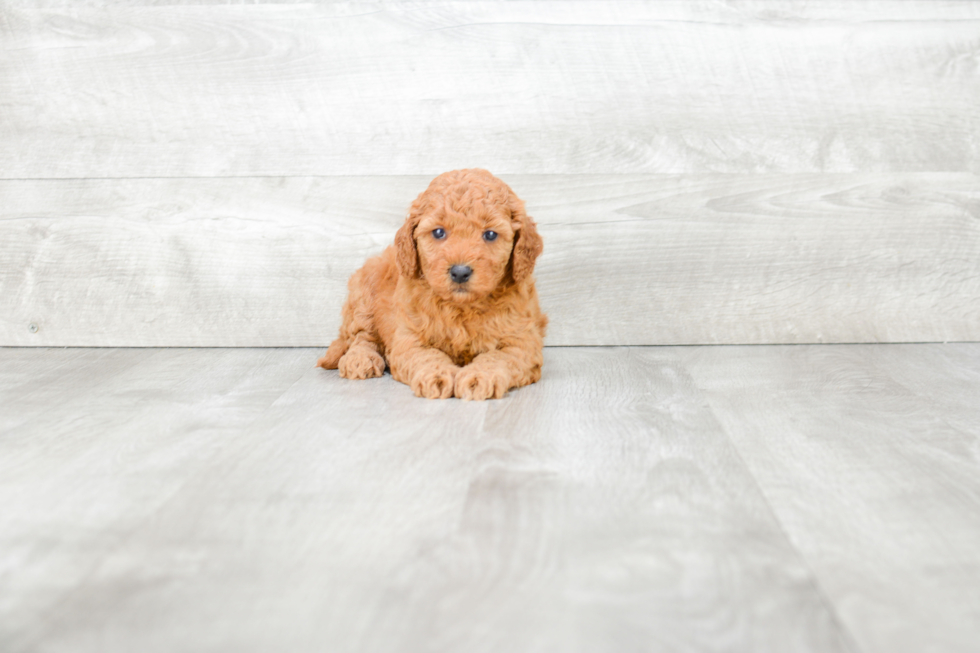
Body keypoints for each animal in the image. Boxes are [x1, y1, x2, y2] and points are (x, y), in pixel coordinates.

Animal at [318, 168, 548, 400]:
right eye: (438, 232)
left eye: (490, 234)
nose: (460, 272)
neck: (461, 308)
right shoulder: (409, 339)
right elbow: (427, 356)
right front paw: (436, 376)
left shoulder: (522, 341)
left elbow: (497, 358)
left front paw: (478, 377)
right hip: (363, 293)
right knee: (361, 336)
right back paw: (359, 359)